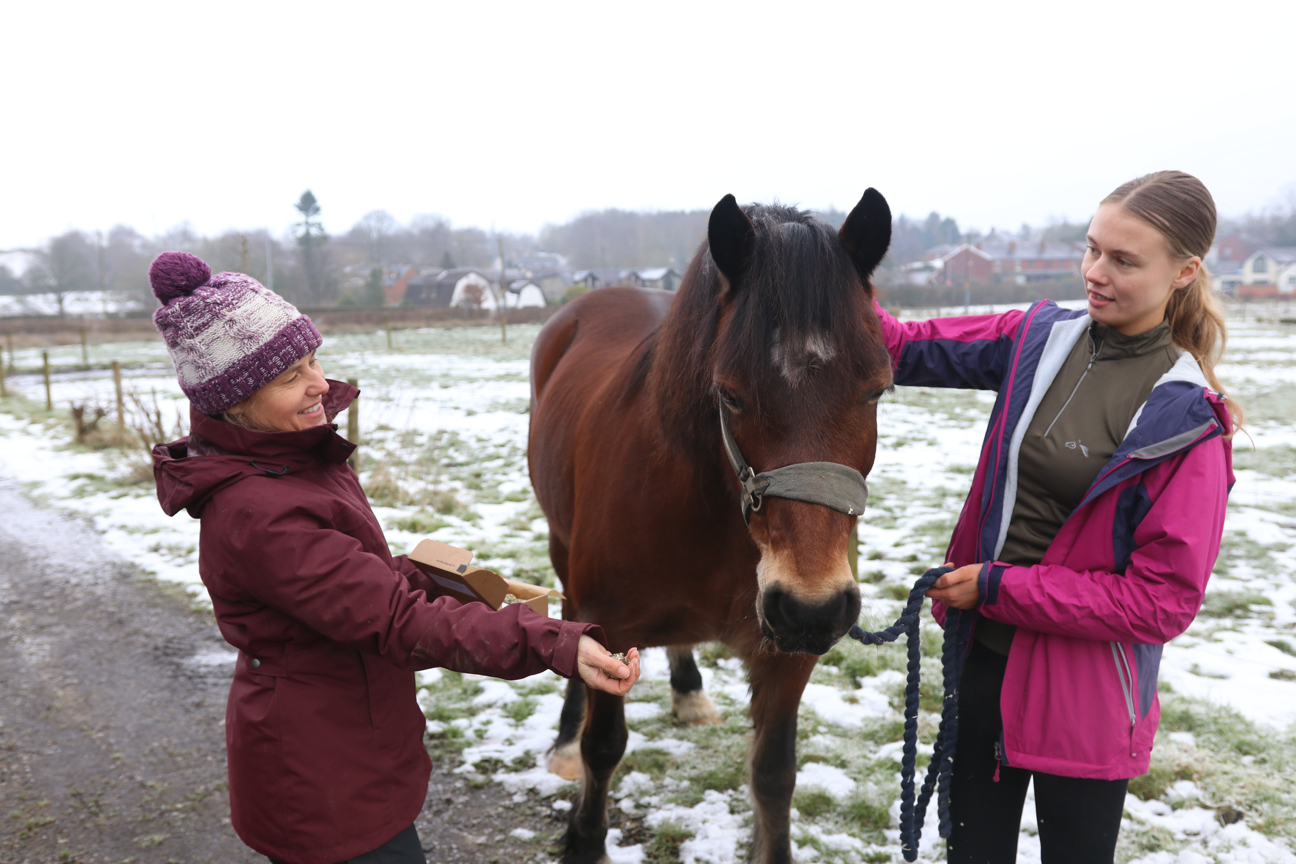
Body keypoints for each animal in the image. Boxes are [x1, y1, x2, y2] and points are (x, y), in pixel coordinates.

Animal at [526, 189, 891, 864]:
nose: (810, 608)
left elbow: (774, 775)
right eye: (730, 394)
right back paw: (563, 742)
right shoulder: (609, 628)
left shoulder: (786, 661)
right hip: (561, 546)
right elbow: (603, 747)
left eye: (877, 390)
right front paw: (583, 838)